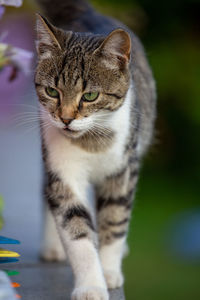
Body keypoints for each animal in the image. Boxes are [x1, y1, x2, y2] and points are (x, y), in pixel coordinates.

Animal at [34, 0, 156, 300]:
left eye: (90, 96)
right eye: (52, 92)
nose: (65, 119)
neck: (91, 141)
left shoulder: (123, 171)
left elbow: (114, 221)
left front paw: (109, 271)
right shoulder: (62, 169)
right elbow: (76, 229)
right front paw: (91, 285)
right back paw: (52, 246)